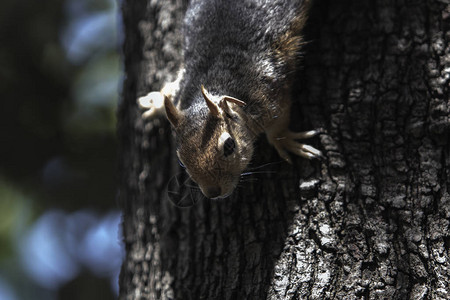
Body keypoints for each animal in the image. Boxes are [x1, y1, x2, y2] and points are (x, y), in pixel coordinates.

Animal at [139, 0, 322, 200]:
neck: (215, 84)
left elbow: (278, 124)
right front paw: (156, 102)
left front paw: (287, 140)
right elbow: (170, 89)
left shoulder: (270, 94)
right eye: (181, 159)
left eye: (229, 146)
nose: (213, 193)